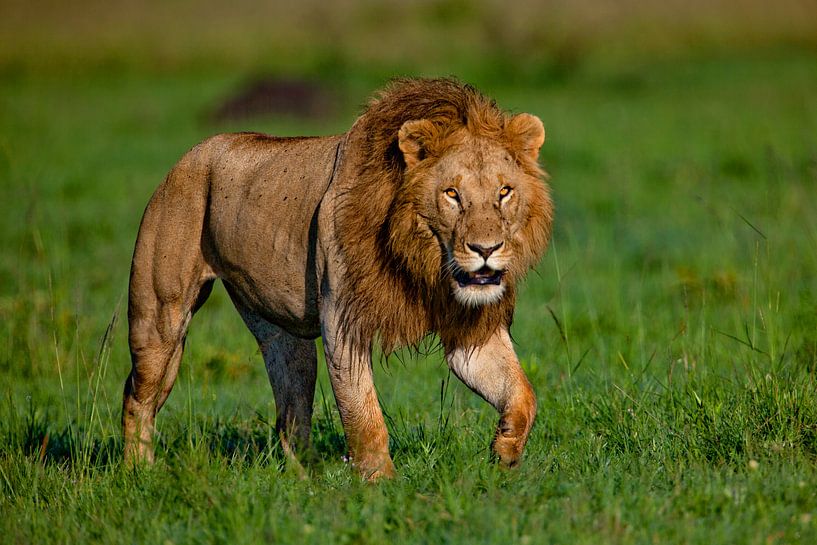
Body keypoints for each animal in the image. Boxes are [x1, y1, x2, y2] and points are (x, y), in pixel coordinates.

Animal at [122, 77, 553, 479]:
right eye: (451, 194)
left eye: (504, 192)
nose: (485, 249)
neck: (425, 264)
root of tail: (189, 155)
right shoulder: (343, 319)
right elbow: (362, 412)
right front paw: (381, 484)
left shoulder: (469, 330)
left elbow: (523, 394)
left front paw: (505, 453)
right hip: (159, 317)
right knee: (137, 396)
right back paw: (138, 472)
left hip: (284, 336)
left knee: (290, 417)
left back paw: (307, 482)